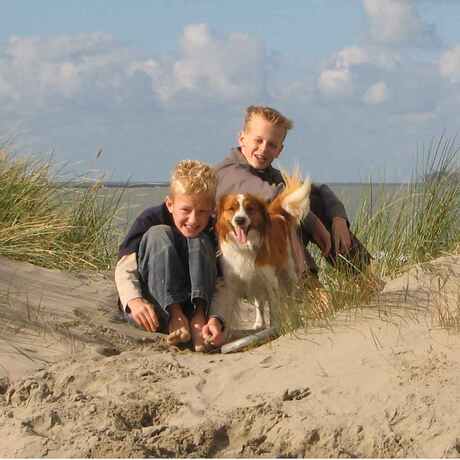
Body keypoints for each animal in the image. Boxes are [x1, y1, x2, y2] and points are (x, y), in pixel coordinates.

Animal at [210, 173, 310, 334]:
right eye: (231, 209)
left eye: (249, 209)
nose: (240, 220)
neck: (244, 247)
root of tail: (276, 214)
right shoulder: (232, 284)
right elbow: (229, 312)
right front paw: (224, 335)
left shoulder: (270, 280)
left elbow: (274, 308)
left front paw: (276, 327)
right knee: (260, 304)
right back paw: (259, 323)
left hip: (288, 272)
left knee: (291, 297)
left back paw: (295, 319)